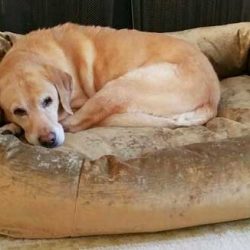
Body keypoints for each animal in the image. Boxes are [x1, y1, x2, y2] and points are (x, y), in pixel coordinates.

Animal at [0, 23, 220, 146]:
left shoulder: (77, 102)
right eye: (19, 111)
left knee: (76, 123)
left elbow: (67, 117)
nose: (48, 141)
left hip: (118, 88)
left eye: (48, 101)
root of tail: (212, 99)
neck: (31, 53)